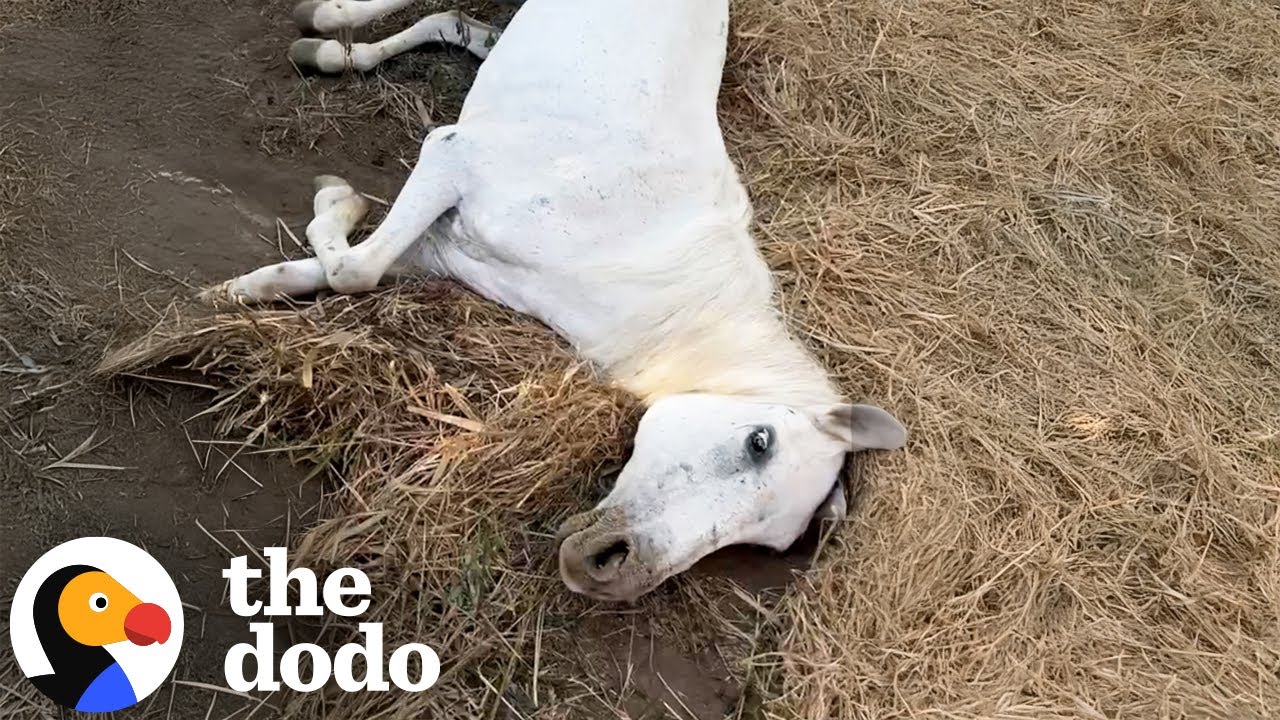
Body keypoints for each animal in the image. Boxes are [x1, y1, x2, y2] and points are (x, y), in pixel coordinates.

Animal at [203, 0, 908, 602]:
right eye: (759, 443)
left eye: (770, 544)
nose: (608, 569)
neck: (635, 255)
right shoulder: (452, 159)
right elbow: (354, 269)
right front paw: (335, 198)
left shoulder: (442, 251)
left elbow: (329, 270)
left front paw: (233, 294)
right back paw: (325, 25)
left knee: (456, 24)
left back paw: (342, 48)